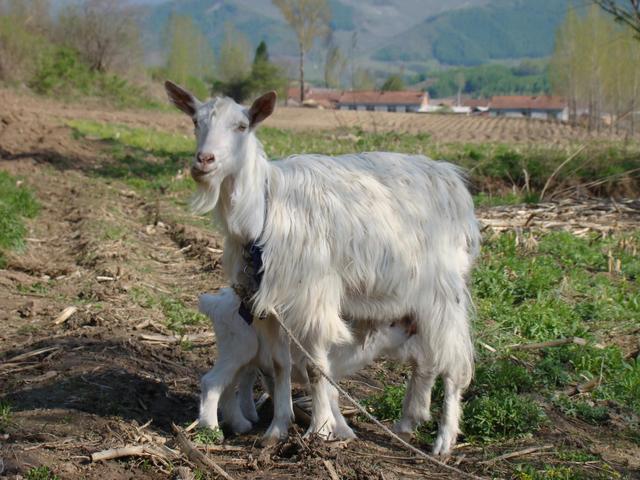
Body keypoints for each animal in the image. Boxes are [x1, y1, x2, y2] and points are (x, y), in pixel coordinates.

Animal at [201, 286, 420, 436]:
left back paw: (242, 424)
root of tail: (214, 302)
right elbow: (331, 396)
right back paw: (211, 427)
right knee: (212, 382)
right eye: (391, 324)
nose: (412, 325)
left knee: (228, 387)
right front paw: (343, 431)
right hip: (238, 350)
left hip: (239, 357)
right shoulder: (325, 370)